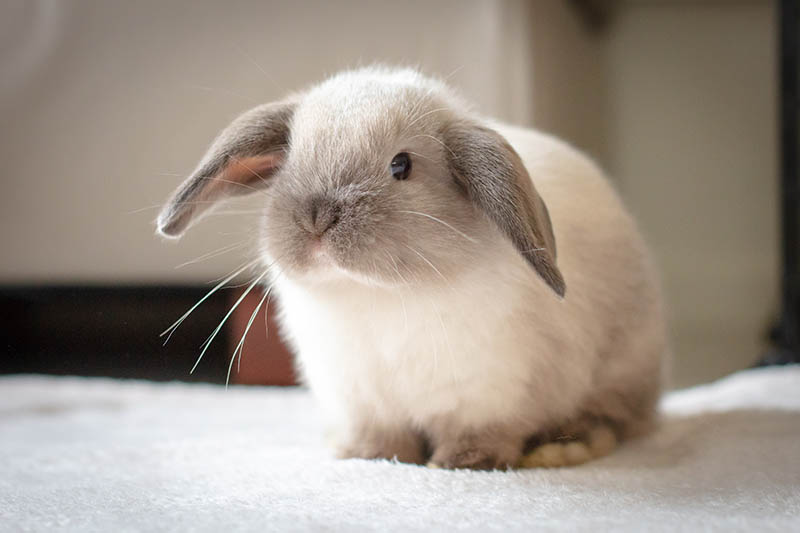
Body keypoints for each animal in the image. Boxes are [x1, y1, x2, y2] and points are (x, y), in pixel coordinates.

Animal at [158, 67, 668, 470]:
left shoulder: (487, 394)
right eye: (290, 162)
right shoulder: (360, 399)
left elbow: (482, 433)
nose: (317, 217)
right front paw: (370, 457)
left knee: (612, 421)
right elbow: (381, 437)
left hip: (619, 371)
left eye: (401, 165)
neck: (376, 294)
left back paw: (561, 449)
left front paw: (463, 463)